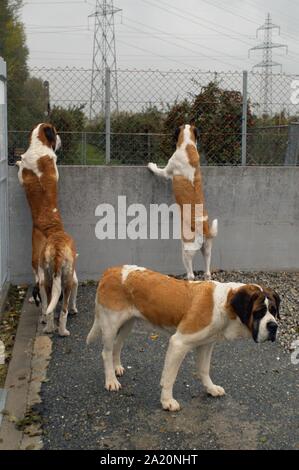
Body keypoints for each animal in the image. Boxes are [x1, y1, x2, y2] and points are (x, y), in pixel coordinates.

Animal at [16, 123, 78, 336]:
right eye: (56, 133)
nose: (61, 140)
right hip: (61, 277)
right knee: (59, 306)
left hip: (40, 267)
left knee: (46, 300)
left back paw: (48, 322)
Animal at [86, 264, 282, 412]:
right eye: (259, 312)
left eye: (273, 311)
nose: (274, 326)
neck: (224, 305)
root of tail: (111, 270)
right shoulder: (179, 343)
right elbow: (170, 376)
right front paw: (167, 401)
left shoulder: (206, 345)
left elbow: (204, 369)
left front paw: (210, 388)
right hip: (110, 324)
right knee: (106, 351)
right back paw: (111, 380)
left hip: (128, 324)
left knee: (118, 345)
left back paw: (117, 367)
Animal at [148, 123, 218, 280]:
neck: (188, 145)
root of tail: (204, 229)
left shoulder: (167, 171)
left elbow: (160, 171)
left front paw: (151, 166)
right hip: (207, 250)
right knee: (207, 271)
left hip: (186, 251)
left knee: (191, 273)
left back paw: (187, 278)